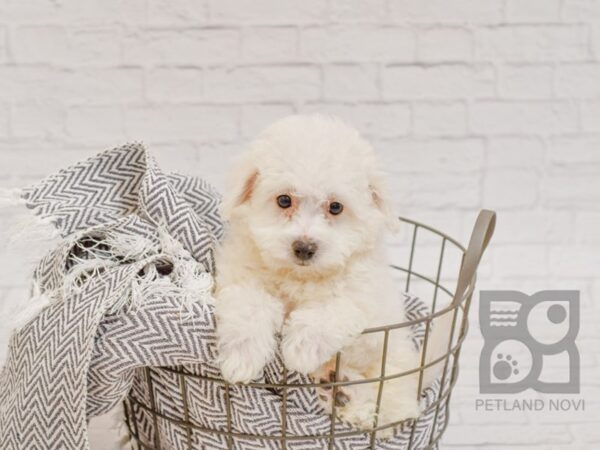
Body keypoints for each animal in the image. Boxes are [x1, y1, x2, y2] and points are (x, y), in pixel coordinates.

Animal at [214, 114, 450, 434]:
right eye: (284, 200)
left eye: (335, 207)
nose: (304, 247)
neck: (301, 277)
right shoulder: (241, 274)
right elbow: (249, 305)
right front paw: (242, 357)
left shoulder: (363, 297)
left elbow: (331, 310)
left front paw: (300, 348)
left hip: (392, 365)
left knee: (390, 408)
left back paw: (346, 394)